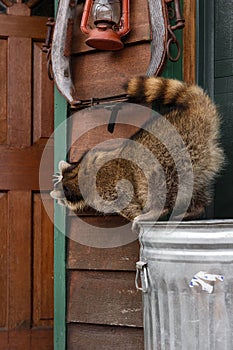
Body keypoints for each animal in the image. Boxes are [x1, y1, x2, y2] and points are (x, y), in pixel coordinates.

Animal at [51, 77, 224, 224]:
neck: (77, 176)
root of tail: (198, 117)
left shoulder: (108, 189)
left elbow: (126, 201)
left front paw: (137, 214)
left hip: (172, 155)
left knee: (152, 184)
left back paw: (157, 210)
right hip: (199, 160)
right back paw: (196, 209)